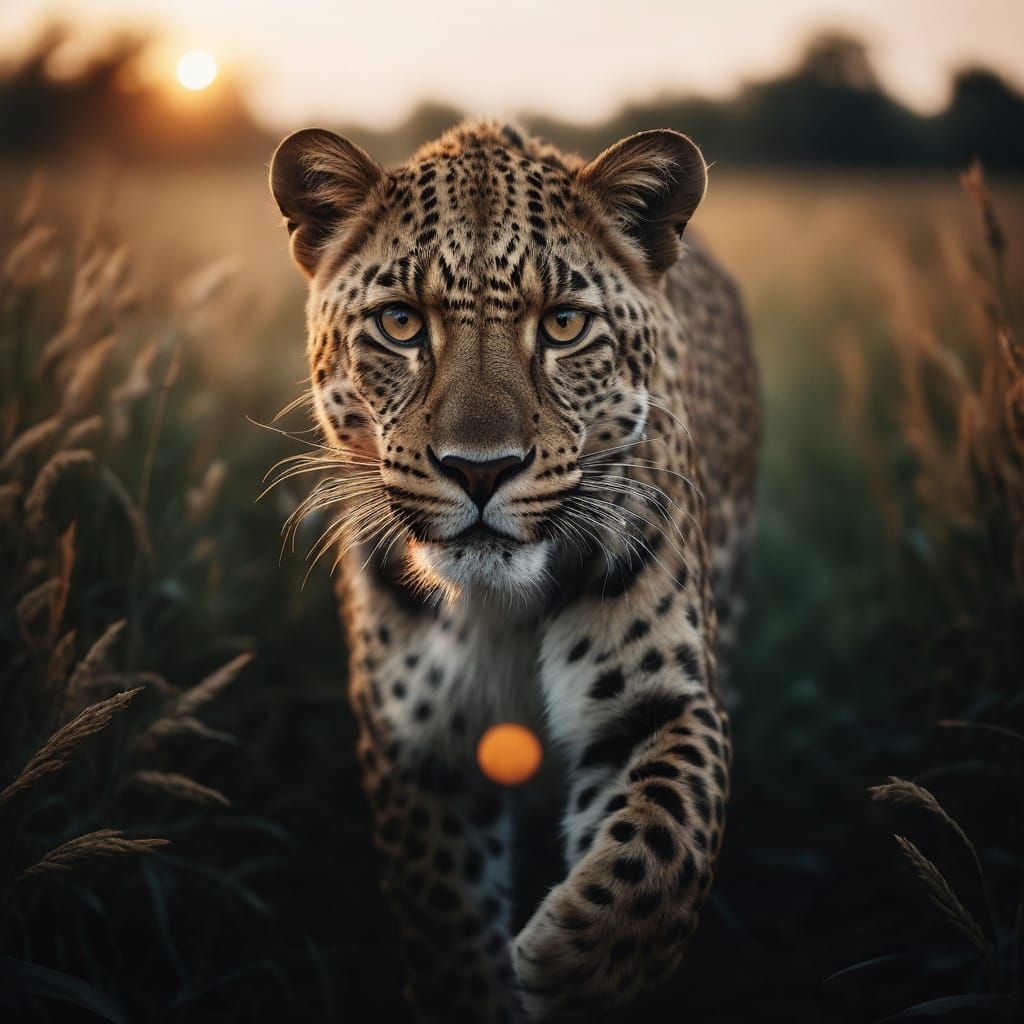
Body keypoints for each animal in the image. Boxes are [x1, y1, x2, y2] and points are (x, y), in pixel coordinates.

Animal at [268, 118, 760, 1022]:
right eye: (401, 322)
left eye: (563, 325)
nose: (481, 469)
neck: (498, 606)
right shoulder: (416, 744)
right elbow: (446, 914)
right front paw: (489, 984)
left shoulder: (663, 696)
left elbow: (668, 829)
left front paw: (577, 961)